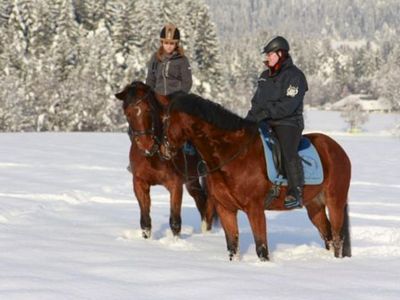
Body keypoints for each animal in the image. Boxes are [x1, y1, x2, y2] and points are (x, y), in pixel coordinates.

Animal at [115, 82, 216, 239]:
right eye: (127, 113)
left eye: (149, 110)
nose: (146, 144)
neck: (154, 155)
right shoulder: (140, 183)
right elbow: (145, 221)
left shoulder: (175, 185)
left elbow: (175, 222)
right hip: (191, 180)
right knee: (200, 200)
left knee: (208, 205)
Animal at [161, 92, 352, 262]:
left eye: (167, 119)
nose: (163, 149)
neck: (232, 155)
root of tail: (337, 149)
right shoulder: (225, 209)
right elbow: (233, 247)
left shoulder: (255, 209)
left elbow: (261, 249)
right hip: (314, 206)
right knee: (327, 235)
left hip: (335, 202)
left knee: (337, 238)